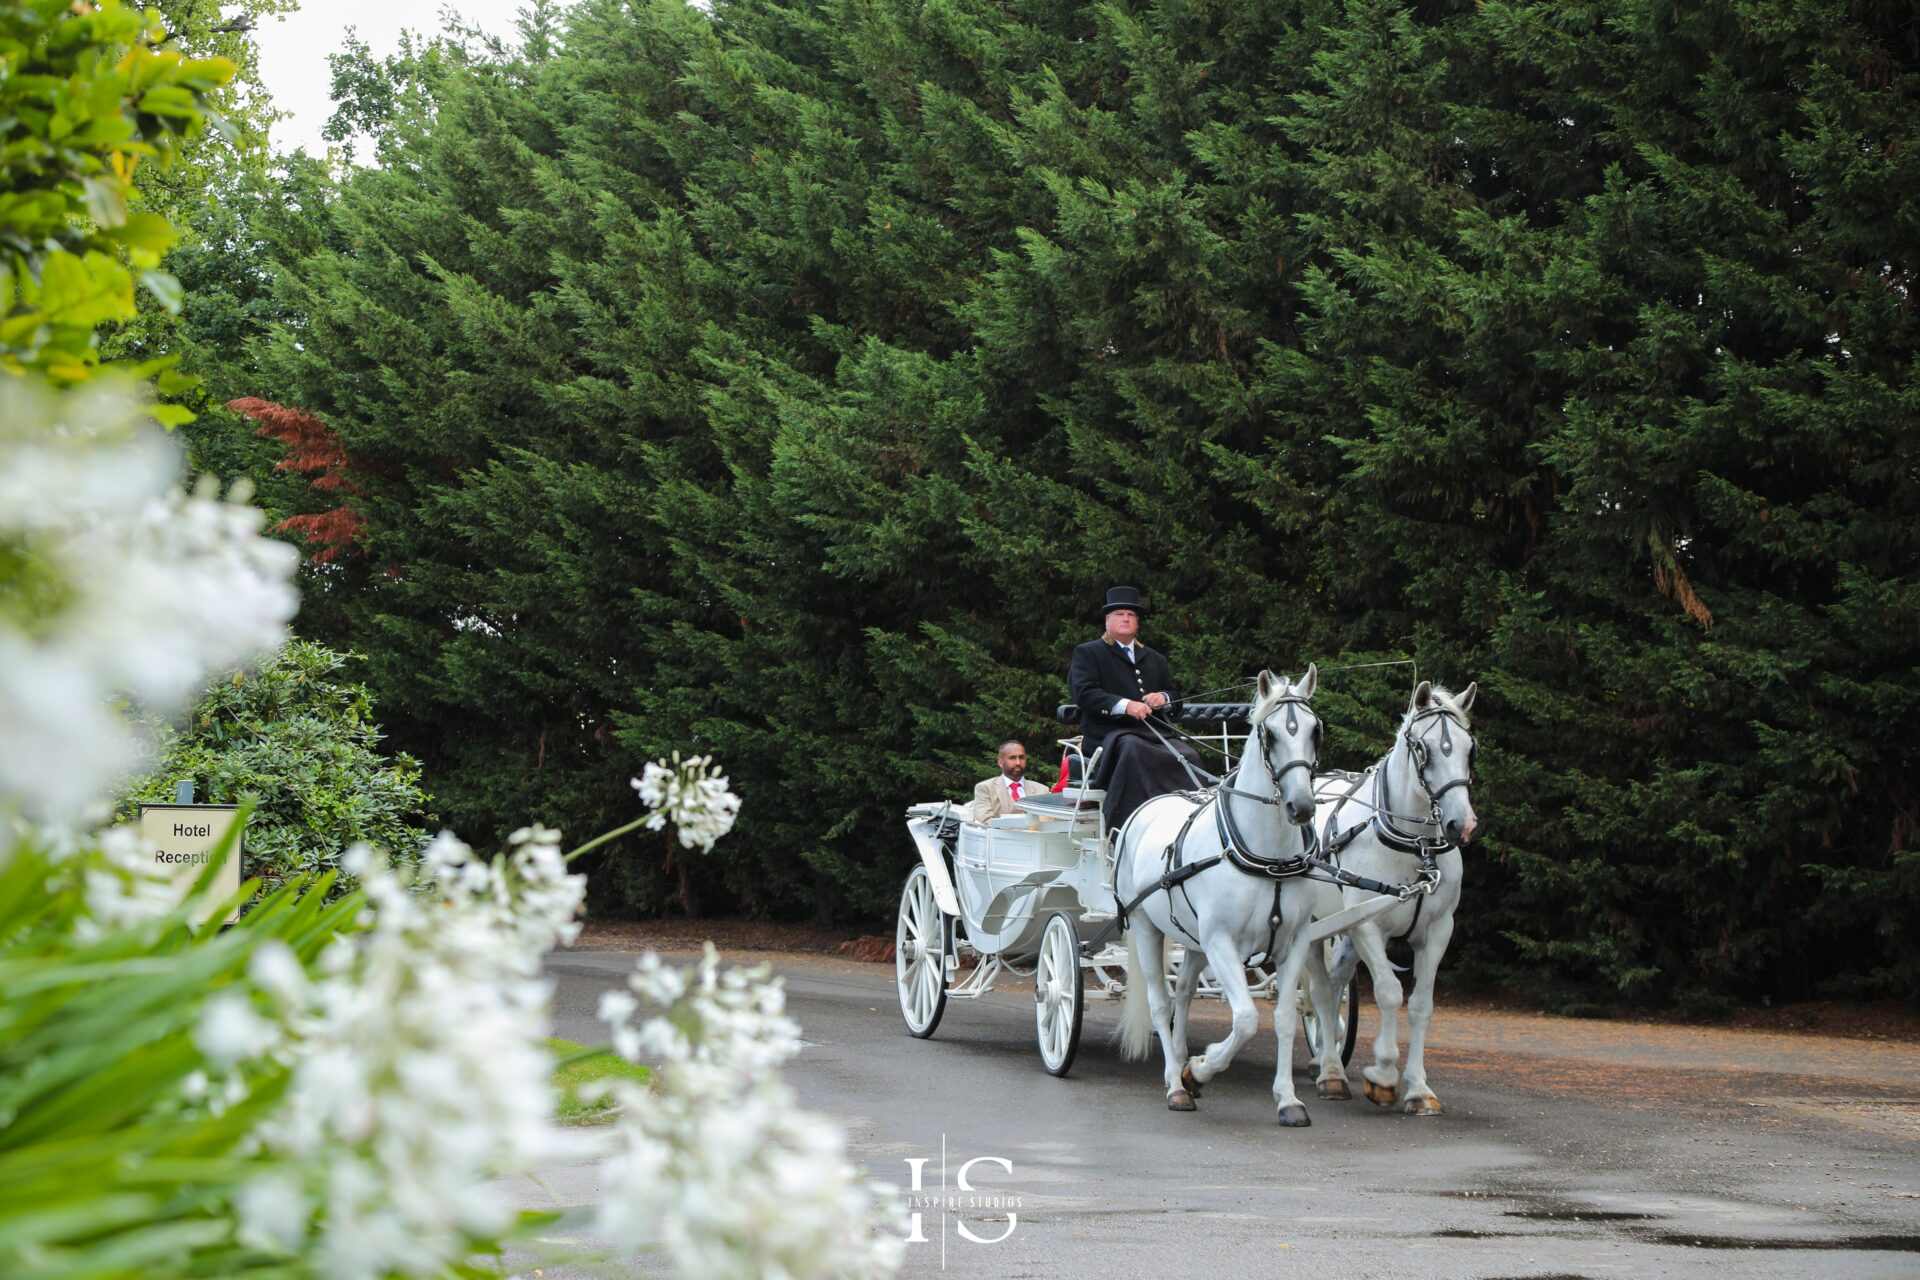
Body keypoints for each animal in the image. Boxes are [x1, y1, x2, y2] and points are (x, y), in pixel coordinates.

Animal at [1113, 667, 1336, 1128]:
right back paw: (1176, 1084)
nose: (1302, 807)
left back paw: (1180, 1064)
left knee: (1182, 995)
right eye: (1269, 734)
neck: (1269, 857)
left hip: (1193, 940)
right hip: (1145, 927)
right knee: (1161, 1003)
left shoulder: (1294, 942)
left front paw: (1288, 1099)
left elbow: (1284, 1018)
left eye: (1315, 731)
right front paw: (1200, 1069)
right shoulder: (1221, 942)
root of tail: (1144, 809)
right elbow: (1247, 1018)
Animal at [1305, 687, 1482, 1113]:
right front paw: (1384, 1074)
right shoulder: (1369, 926)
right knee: (1320, 991)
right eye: (1424, 750)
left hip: (1343, 931)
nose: (1462, 824)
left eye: (1471, 749)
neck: (1416, 847)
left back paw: (1325, 1060)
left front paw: (1419, 1089)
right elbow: (1388, 993)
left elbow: (1420, 1005)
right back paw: (1331, 1073)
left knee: (1334, 986)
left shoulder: (1438, 930)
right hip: (1312, 929)